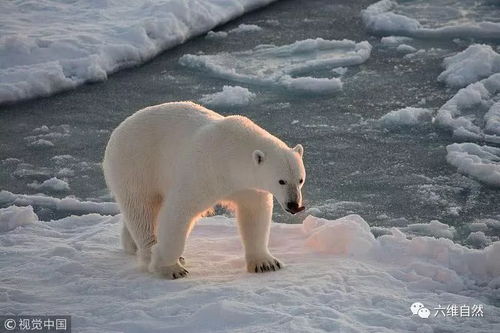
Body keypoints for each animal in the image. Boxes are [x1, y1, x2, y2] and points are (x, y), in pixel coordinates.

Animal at [102, 100, 304, 278]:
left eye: (300, 180)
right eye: (281, 181)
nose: (294, 205)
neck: (232, 152)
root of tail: (119, 130)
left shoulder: (248, 186)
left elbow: (255, 213)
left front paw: (266, 263)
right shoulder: (205, 170)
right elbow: (179, 210)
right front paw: (170, 268)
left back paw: (132, 245)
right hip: (137, 164)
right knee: (142, 210)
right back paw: (150, 253)